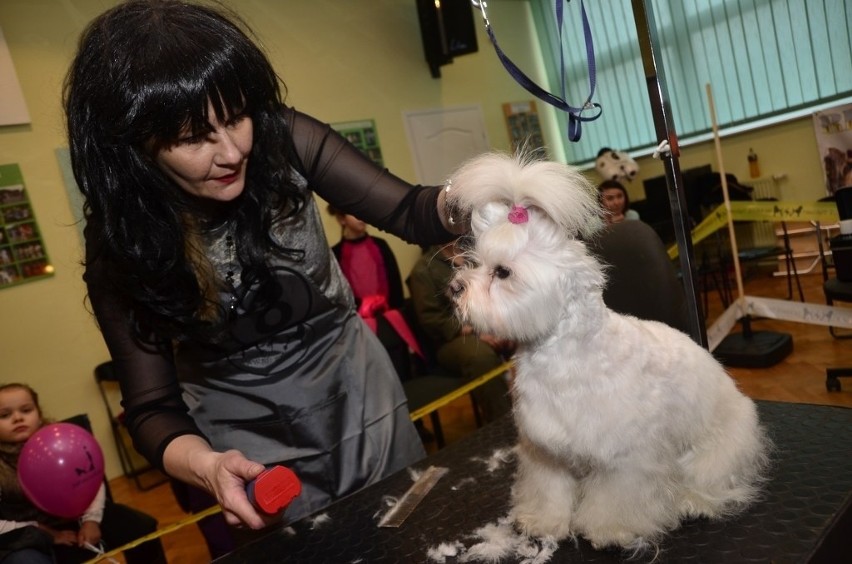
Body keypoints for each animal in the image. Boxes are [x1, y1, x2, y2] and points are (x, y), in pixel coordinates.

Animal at [446, 151, 772, 552]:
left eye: (503, 272)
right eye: (472, 262)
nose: (455, 287)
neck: (562, 358)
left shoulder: (625, 460)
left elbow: (617, 498)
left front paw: (612, 530)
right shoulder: (546, 453)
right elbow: (549, 491)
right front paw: (543, 522)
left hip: (716, 448)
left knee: (713, 478)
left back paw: (692, 500)